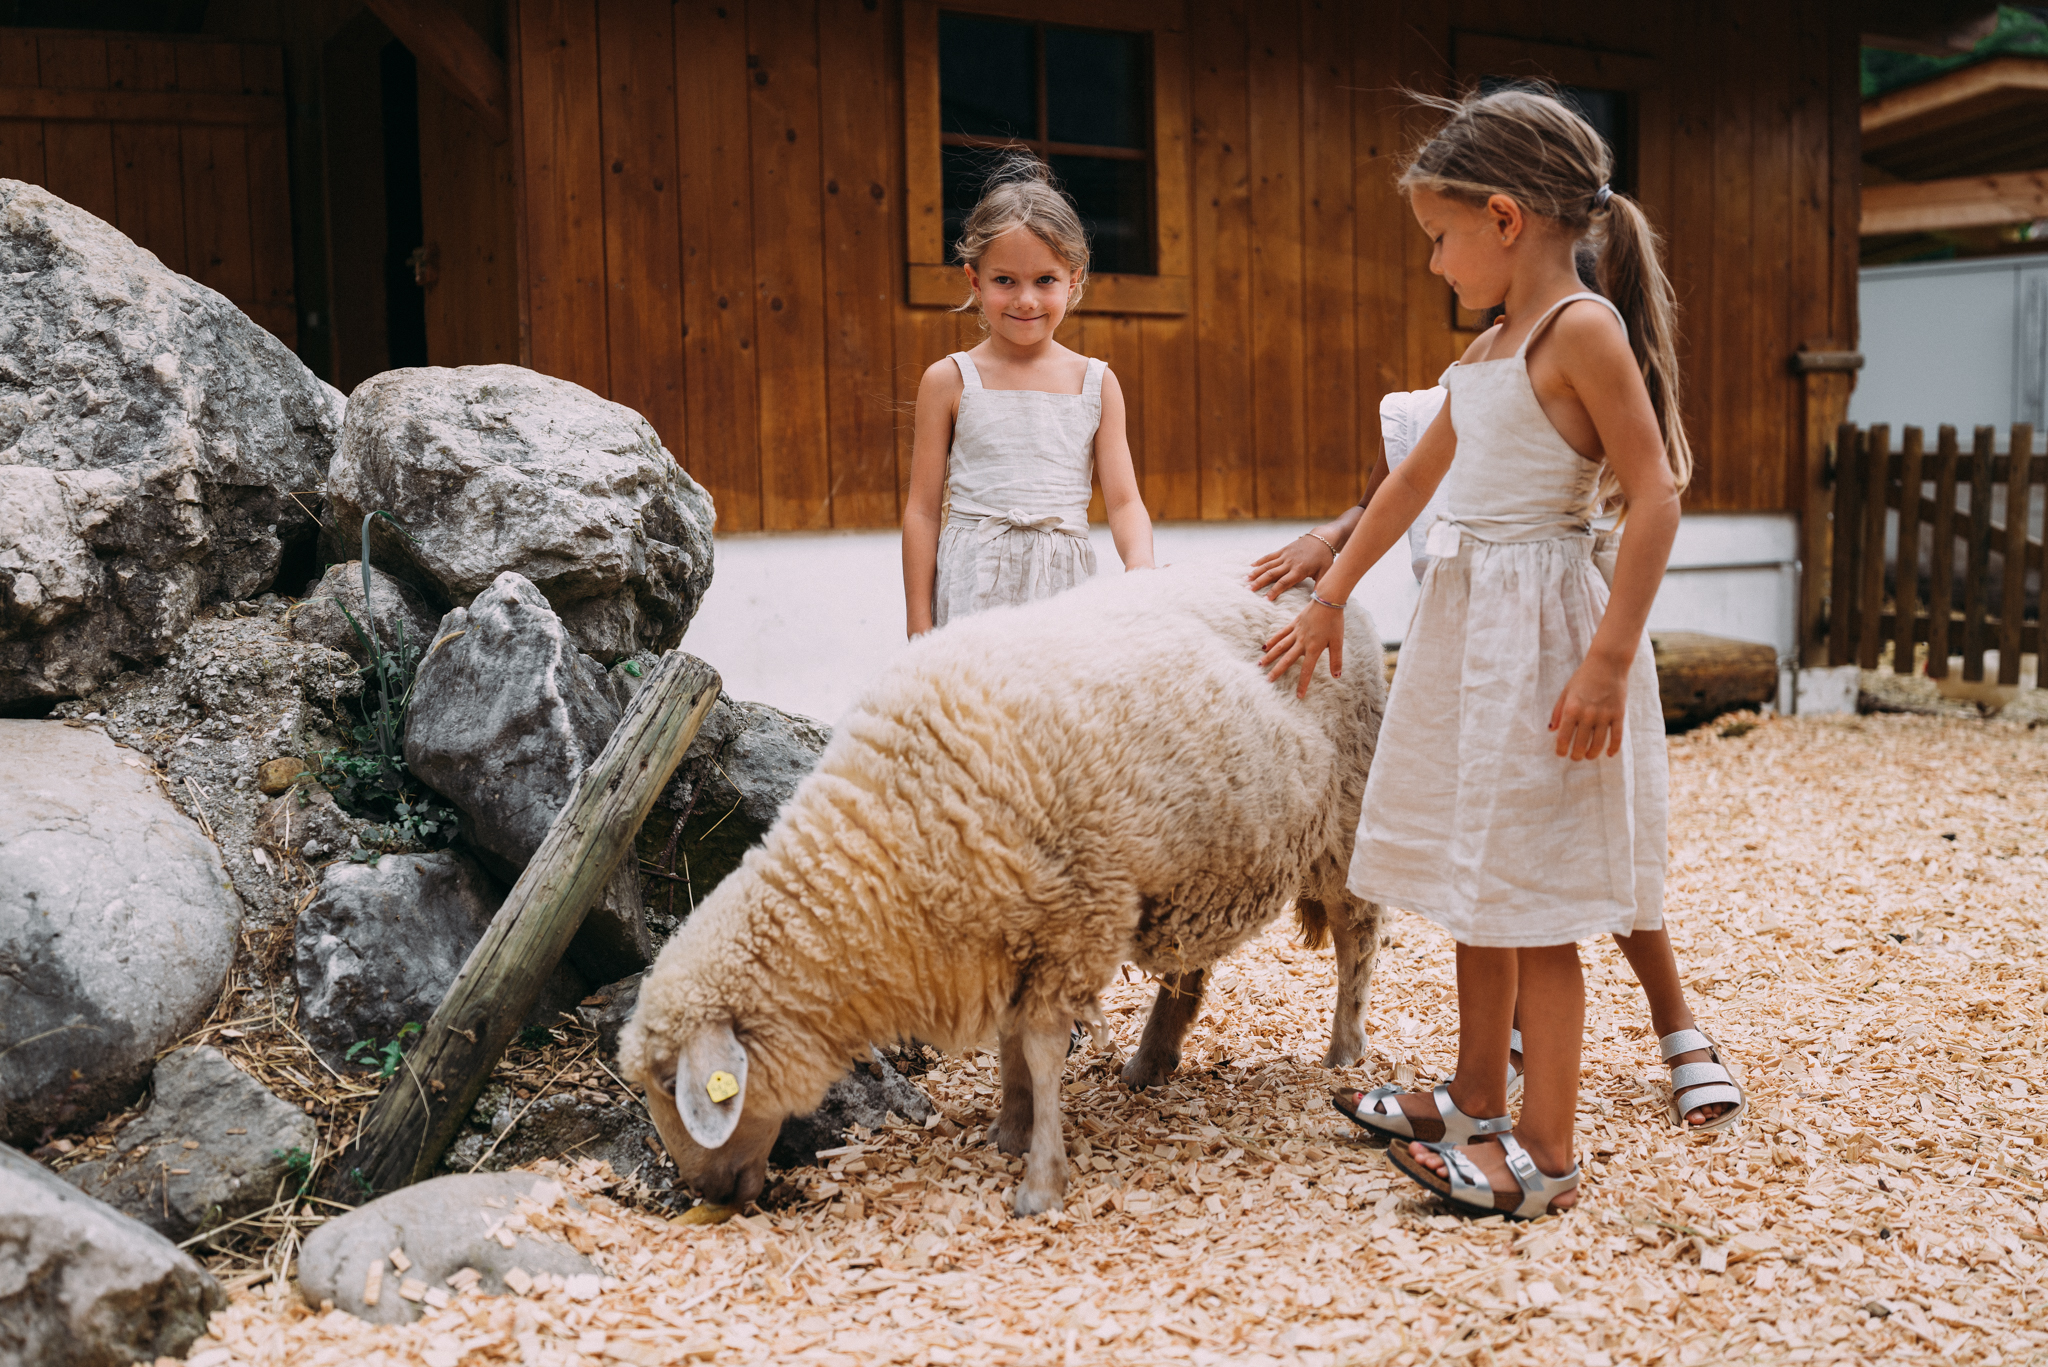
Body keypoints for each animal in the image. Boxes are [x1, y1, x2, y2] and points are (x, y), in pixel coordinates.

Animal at [618, 565, 1392, 1221]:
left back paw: (1346, 1049)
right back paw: (1152, 1060)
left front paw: (1041, 1181)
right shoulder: (1002, 937)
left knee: (1357, 936)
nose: (704, 1191)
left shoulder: (1071, 926)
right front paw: (1010, 1129)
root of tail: (1334, 589)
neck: (888, 844)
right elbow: (1013, 1047)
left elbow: (1044, 1053)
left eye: (674, 1083)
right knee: (1191, 964)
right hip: (1205, 863)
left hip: (1346, 815)